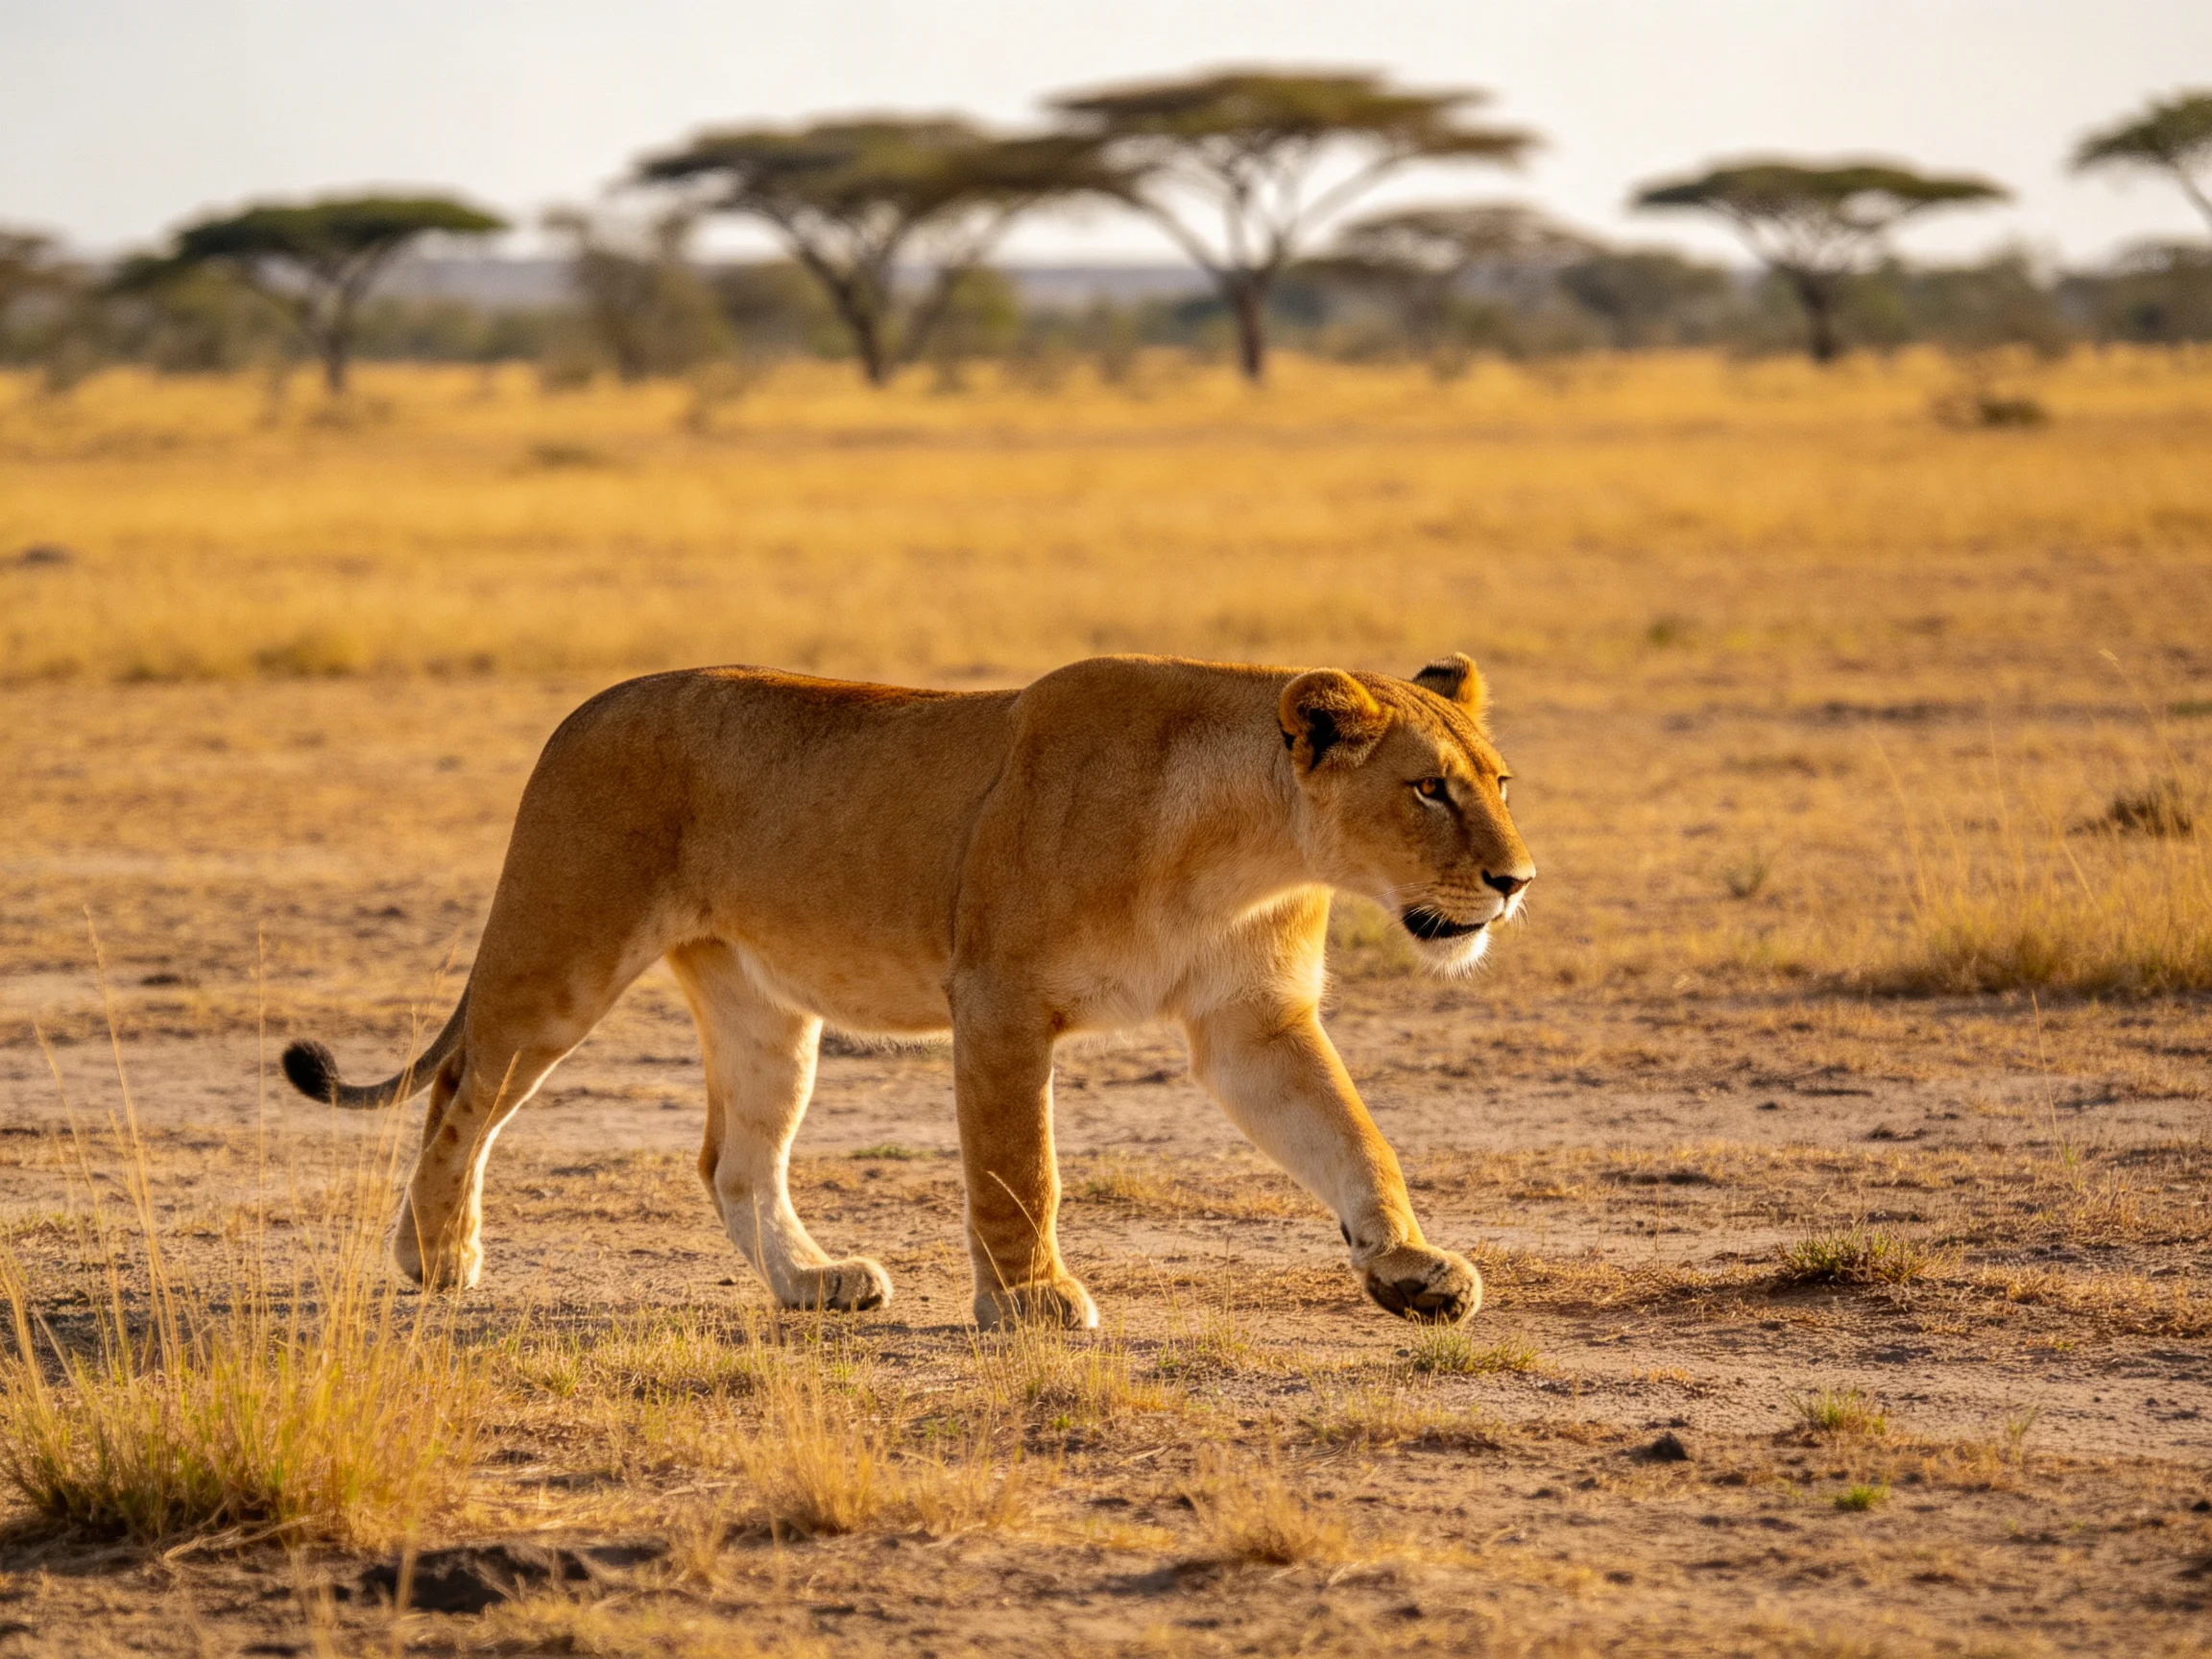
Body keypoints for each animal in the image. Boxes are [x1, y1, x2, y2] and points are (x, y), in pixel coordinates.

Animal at [281, 652, 1535, 1329]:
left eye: (1501, 781)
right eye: (1428, 789)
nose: (1515, 881)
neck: (1250, 852)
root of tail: (582, 708)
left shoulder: (1252, 1023)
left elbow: (1355, 1140)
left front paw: (1412, 1270)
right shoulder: (998, 1000)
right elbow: (1020, 1171)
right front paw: (1031, 1303)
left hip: (762, 1007)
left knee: (732, 1160)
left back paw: (812, 1282)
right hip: (562, 951)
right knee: (463, 1093)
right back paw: (437, 1256)